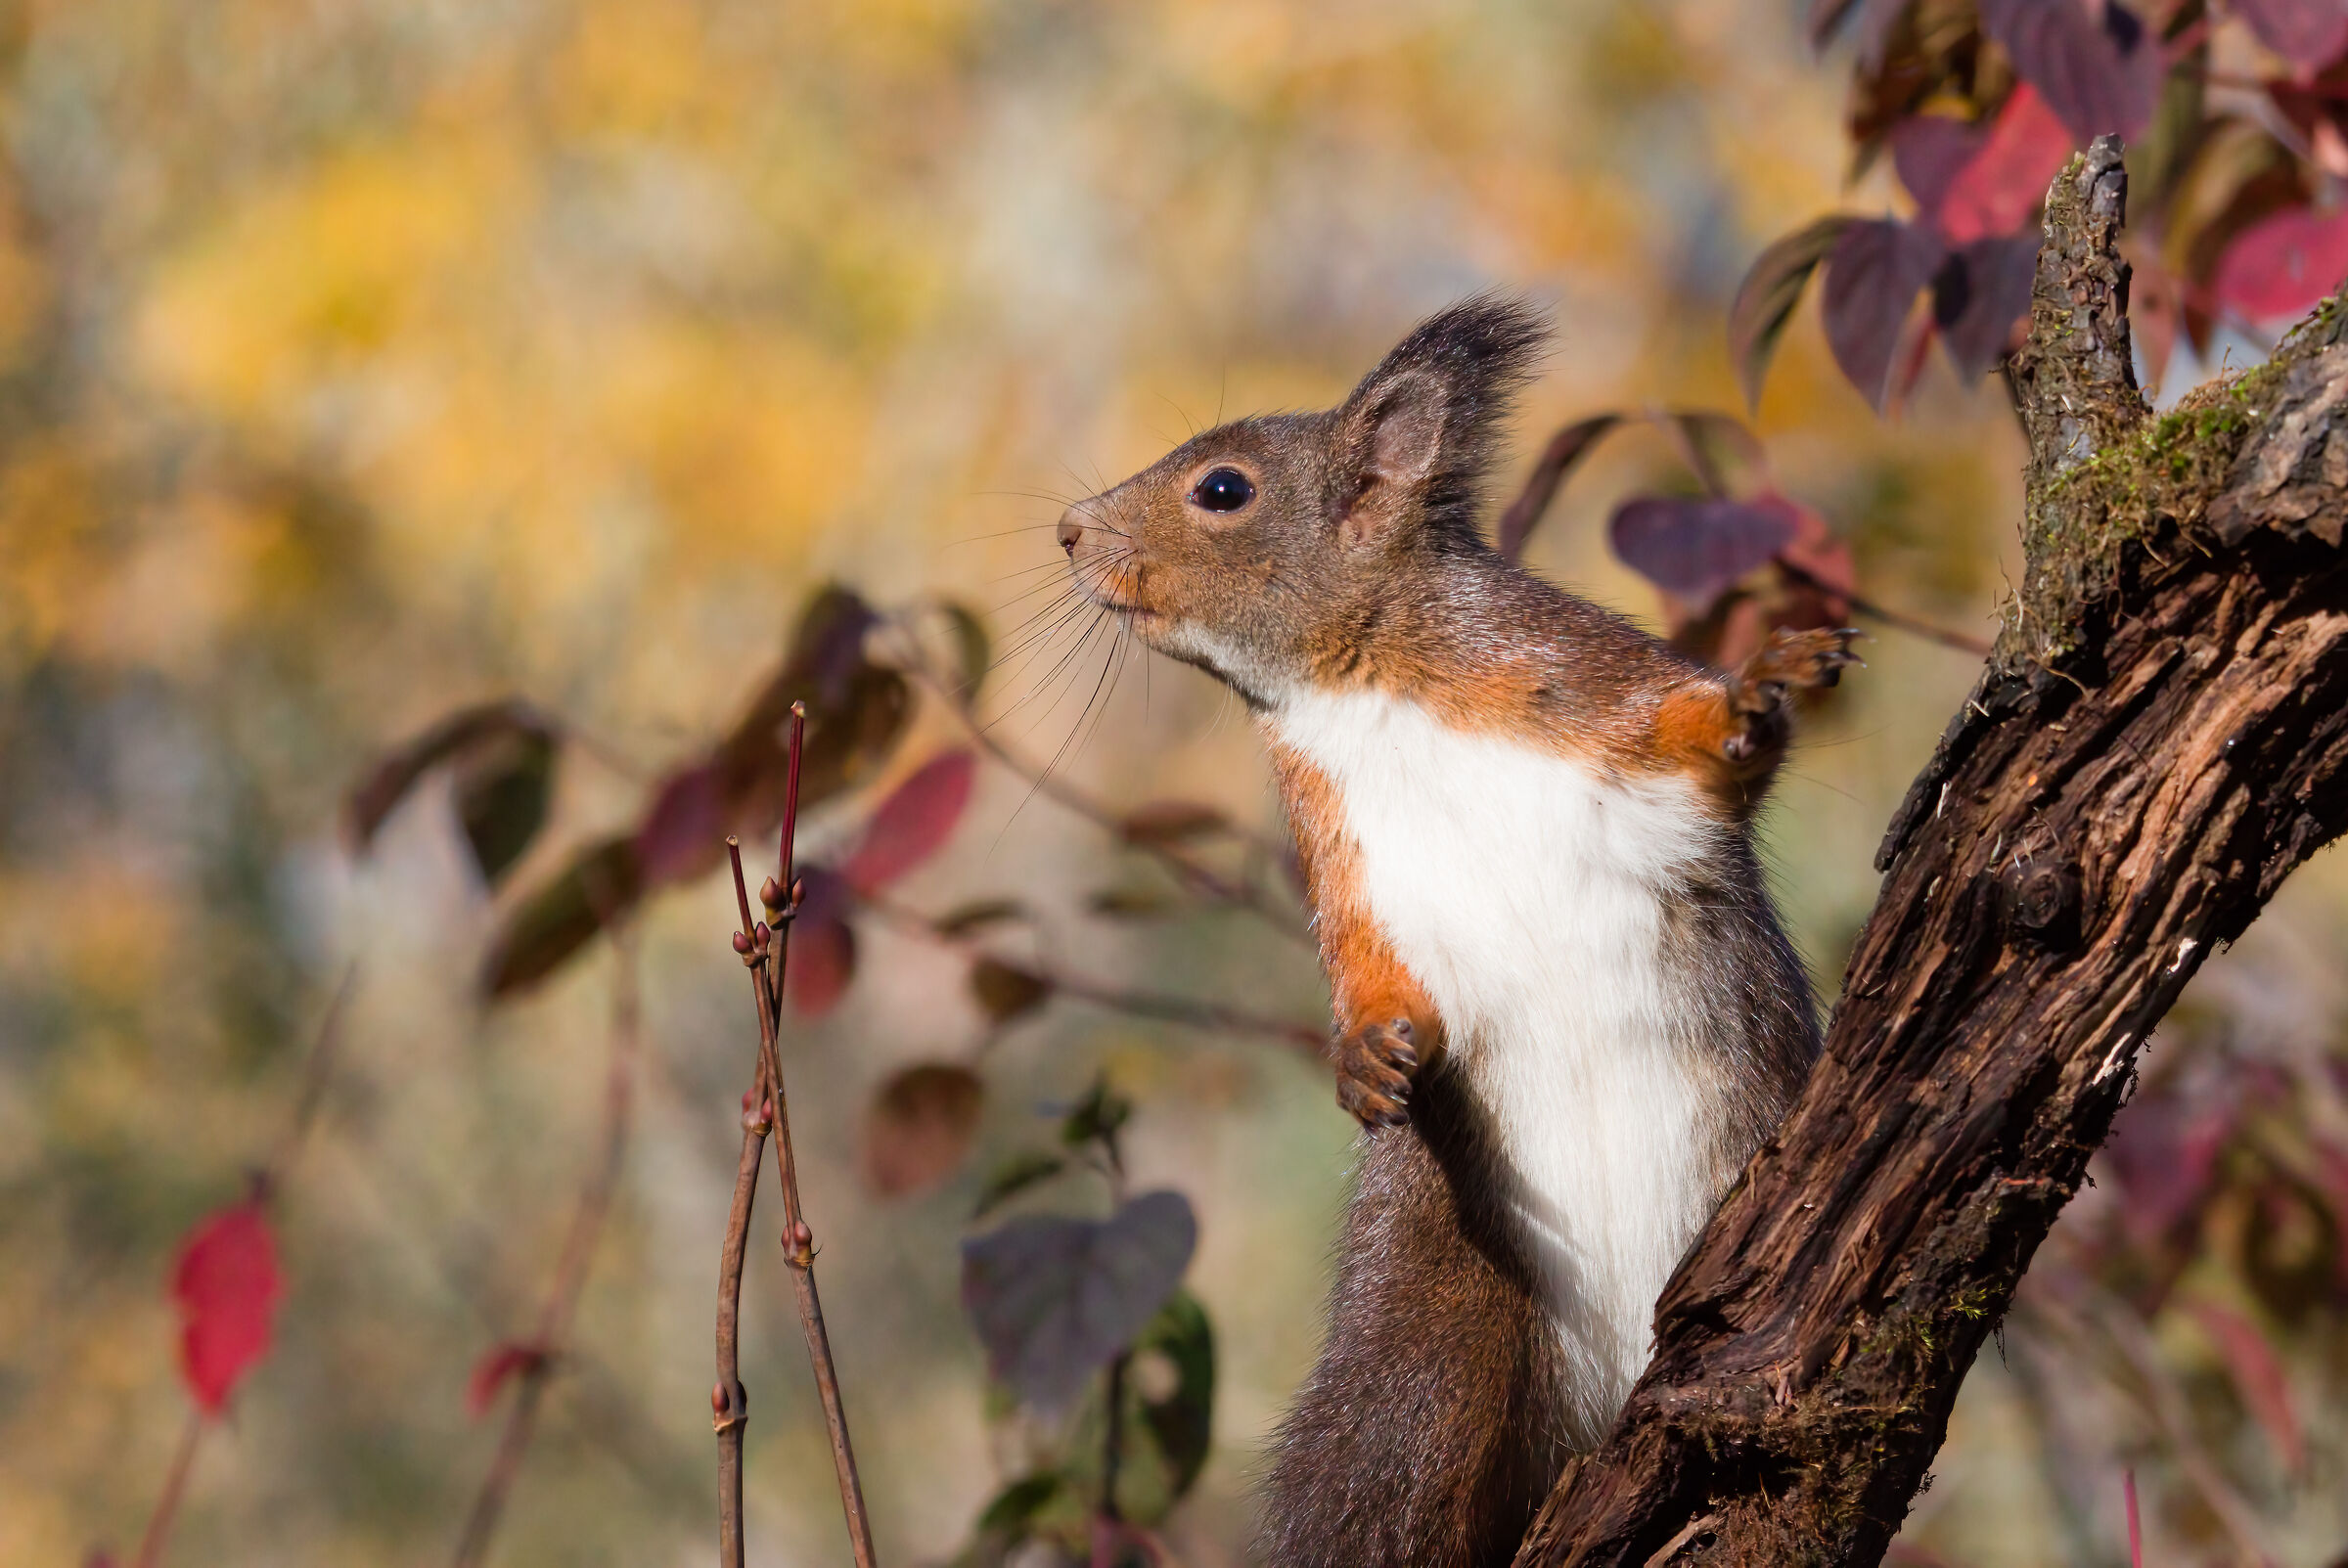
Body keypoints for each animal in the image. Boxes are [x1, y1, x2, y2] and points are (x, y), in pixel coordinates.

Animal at [1053, 295, 1846, 1568]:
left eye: (1223, 489)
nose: (1072, 531)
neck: (1359, 681)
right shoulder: (1342, 849)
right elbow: (1366, 968)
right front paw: (1363, 1057)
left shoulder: (1569, 669)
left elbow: (1699, 751)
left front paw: (1760, 683)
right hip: (1431, 1325)